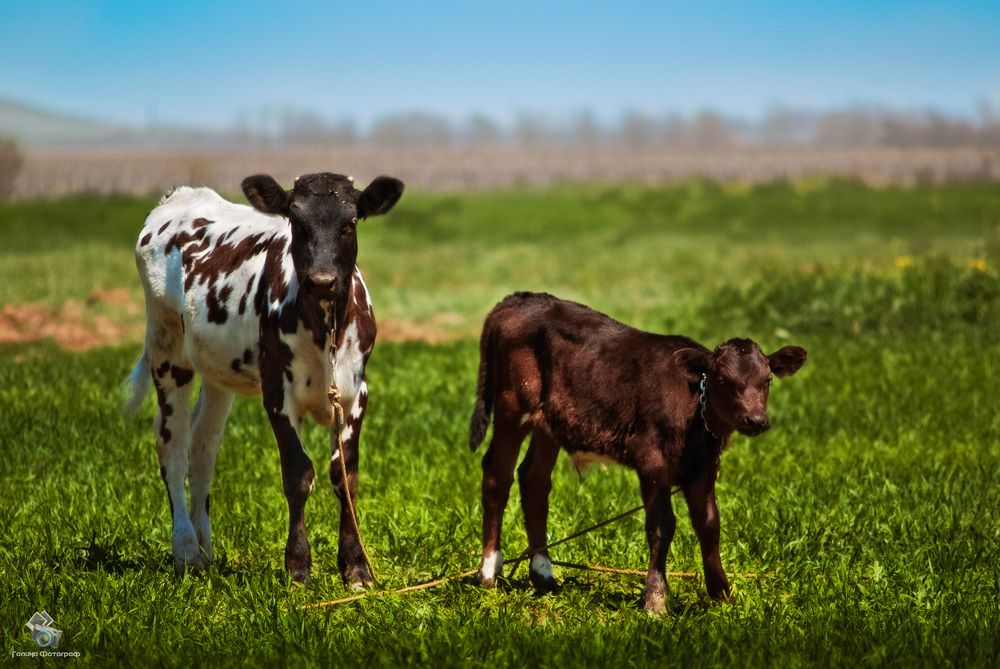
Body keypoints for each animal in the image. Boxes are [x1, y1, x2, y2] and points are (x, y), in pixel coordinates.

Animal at [123, 172, 404, 587]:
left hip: (217, 373)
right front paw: (298, 567)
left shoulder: (355, 393)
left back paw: (206, 548)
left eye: (349, 223)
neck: (324, 328)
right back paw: (186, 550)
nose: (322, 280)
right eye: (296, 222)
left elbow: (345, 476)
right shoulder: (277, 392)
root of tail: (181, 195)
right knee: (172, 447)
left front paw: (355, 568)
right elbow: (299, 473)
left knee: (203, 446)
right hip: (167, 350)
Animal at [468, 292, 807, 612]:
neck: (694, 412)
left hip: (548, 422)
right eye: (724, 380)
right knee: (497, 474)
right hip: (512, 405)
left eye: (767, 380)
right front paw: (655, 599)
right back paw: (490, 572)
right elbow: (661, 525)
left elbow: (709, 524)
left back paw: (543, 574)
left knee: (534, 480)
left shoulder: (704, 468)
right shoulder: (651, 461)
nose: (756, 420)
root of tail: (516, 299)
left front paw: (723, 596)